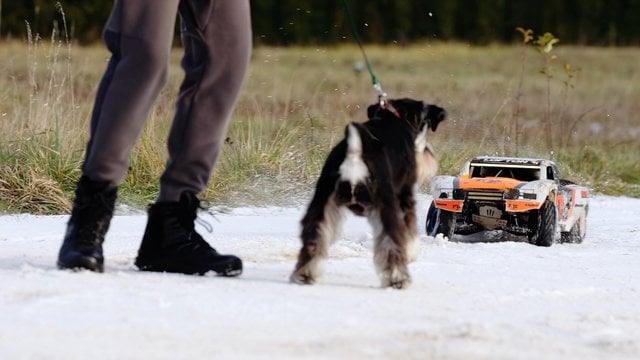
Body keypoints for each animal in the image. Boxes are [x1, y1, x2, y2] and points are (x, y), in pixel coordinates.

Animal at [290, 98, 444, 290]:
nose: (430, 156)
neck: (393, 117)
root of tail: (355, 152)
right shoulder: (405, 195)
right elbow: (409, 230)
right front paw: (412, 252)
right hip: (387, 205)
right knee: (392, 241)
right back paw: (398, 279)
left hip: (321, 202)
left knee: (314, 237)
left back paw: (305, 274)